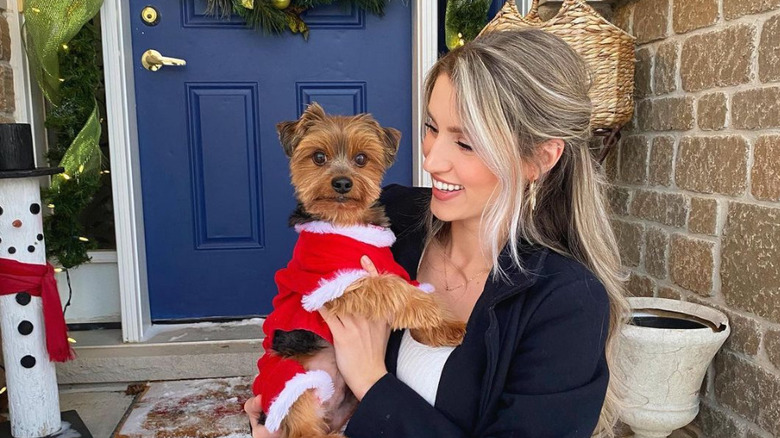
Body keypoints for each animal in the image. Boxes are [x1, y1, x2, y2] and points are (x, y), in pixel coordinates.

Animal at [253, 103, 466, 438]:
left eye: (361, 159)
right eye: (318, 157)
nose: (342, 182)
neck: (345, 223)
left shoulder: (391, 266)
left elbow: (411, 289)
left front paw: (442, 325)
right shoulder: (332, 284)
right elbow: (391, 288)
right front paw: (431, 313)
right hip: (289, 381)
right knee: (301, 421)